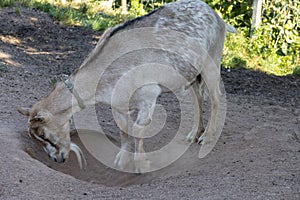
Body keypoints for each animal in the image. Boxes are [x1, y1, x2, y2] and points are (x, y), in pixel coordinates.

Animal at [18, 0, 237, 172]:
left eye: (44, 135)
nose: (58, 158)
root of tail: (218, 17)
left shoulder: (148, 95)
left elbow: (138, 131)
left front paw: (141, 164)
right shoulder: (119, 104)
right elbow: (124, 131)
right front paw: (121, 161)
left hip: (212, 61)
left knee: (216, 97)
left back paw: (207, 137)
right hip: (190, 72)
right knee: (197, 97)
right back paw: (193, 134)